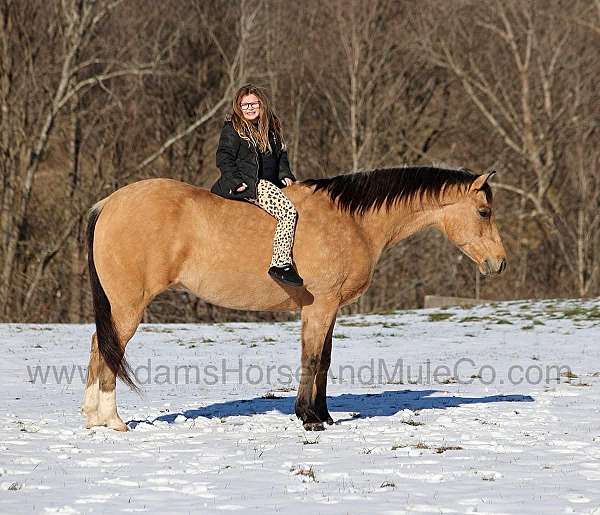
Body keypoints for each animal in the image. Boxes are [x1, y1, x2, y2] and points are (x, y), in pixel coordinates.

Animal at [82, 166, 506, 432]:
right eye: (484, 212)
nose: (499, 263)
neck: (351, 220)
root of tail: (107, 204)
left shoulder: (329, 309)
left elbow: (325, 361)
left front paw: (324, 415)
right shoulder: (319, 307)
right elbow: (312, 359)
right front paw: (309, 417)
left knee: (98, 346)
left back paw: (92, 417)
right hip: (128, 307)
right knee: (109, 349)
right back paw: (113, 420)